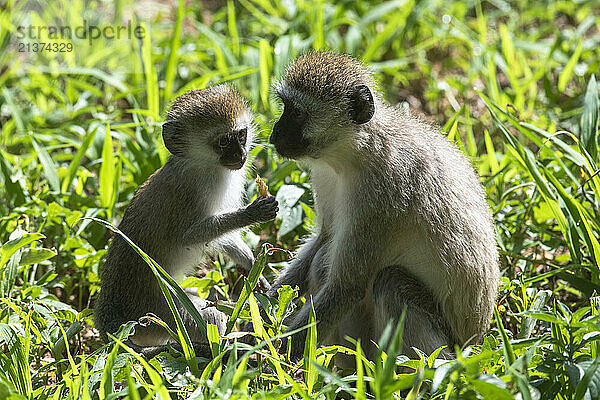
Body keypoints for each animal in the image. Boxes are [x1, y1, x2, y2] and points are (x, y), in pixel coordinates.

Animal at [95, 86, 278, 354]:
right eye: (224, 141)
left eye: (241, 135)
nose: (241, 154)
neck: (205, 166)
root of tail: (112, 317)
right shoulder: (190, 192)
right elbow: (190, 237)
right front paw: (252, 213)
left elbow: (224, 238)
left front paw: (254, 266)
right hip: (159, 313)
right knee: (211, 316)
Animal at [270, 51, 500, 360]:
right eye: (286, 107)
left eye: (296, 113)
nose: (274, 134)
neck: (356, 153)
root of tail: (474, 341)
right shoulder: (324, 175)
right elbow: (325, 238)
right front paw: (257, 306)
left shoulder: (381, 193)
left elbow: (347, 287)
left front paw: (263, 357)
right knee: (322, 259)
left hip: (444, 345)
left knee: (389, 282)